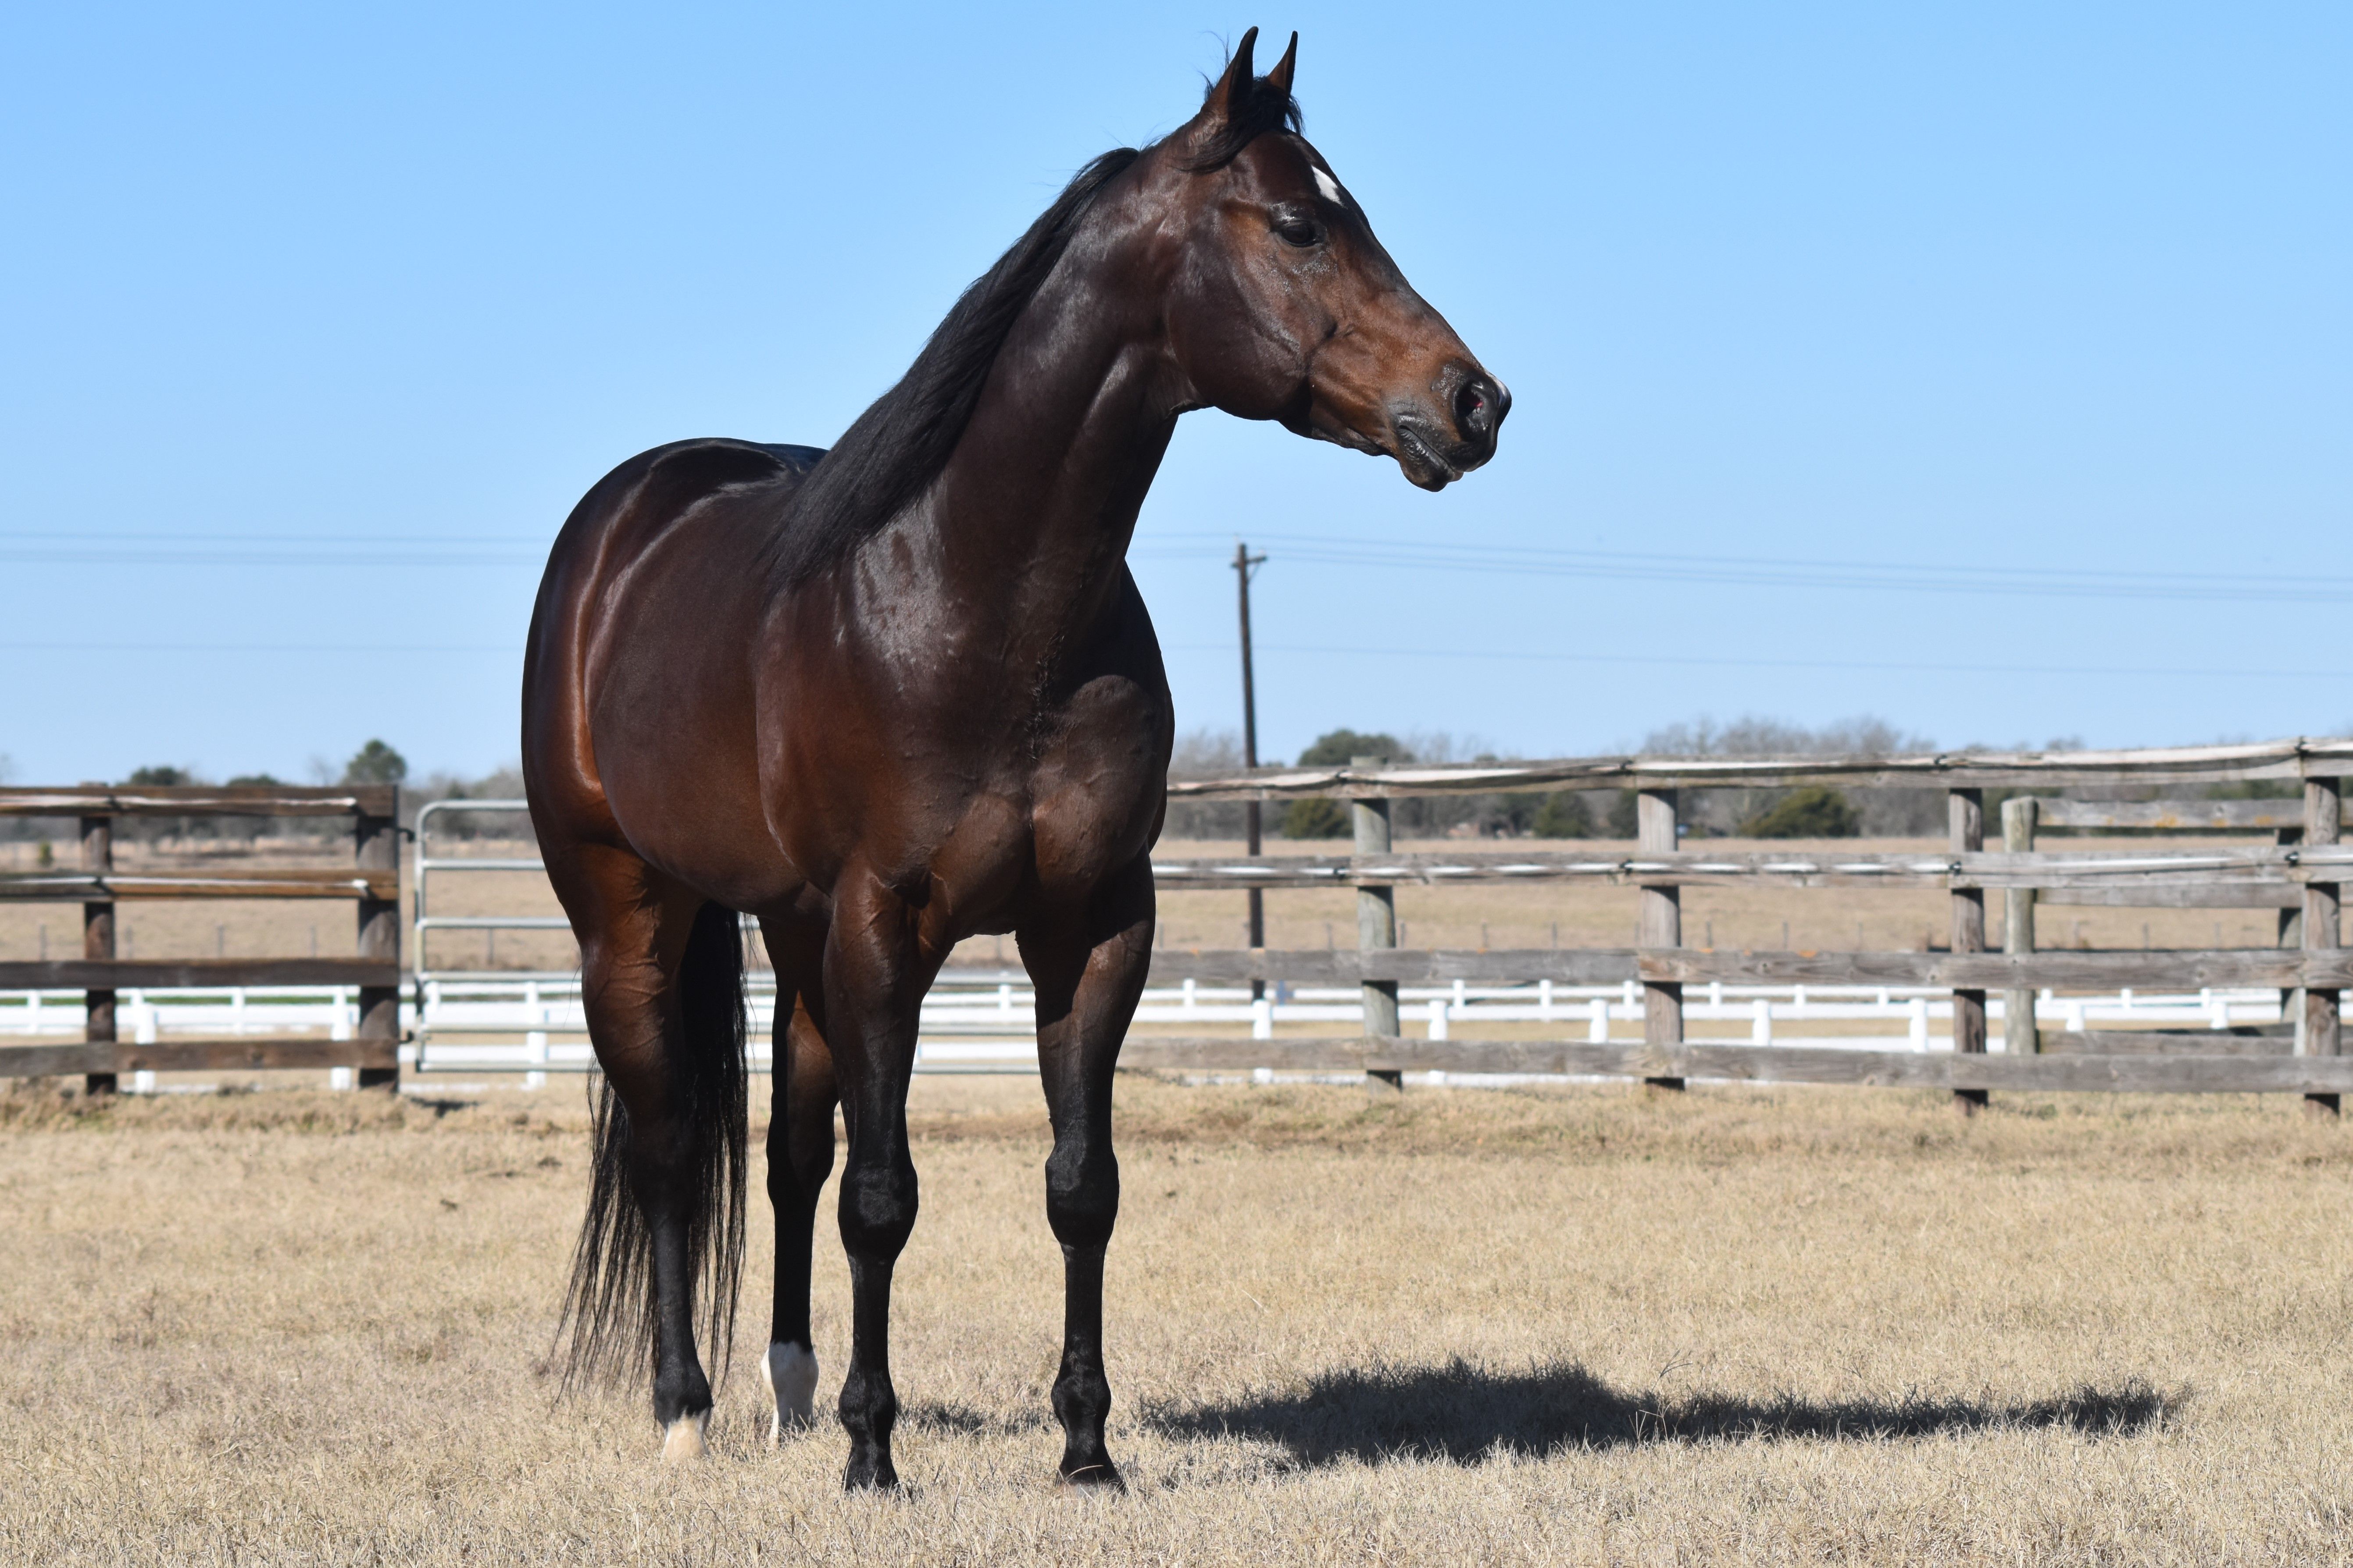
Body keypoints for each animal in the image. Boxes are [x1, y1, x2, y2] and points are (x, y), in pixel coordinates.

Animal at [521, 27, 1507, 1490]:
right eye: (1296, 225)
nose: (1472, 400)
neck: (981, 604)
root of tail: (623, 522)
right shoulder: (887, 928)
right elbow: (885, 1197)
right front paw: (875, 1457)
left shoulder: (1091, 926)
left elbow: (1077, 1186)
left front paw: (1086, 1449)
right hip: (630, 913)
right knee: (668, 1147)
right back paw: (687, 1411)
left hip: (792, 931)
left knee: (787, 1151)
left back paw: (790, 1389)